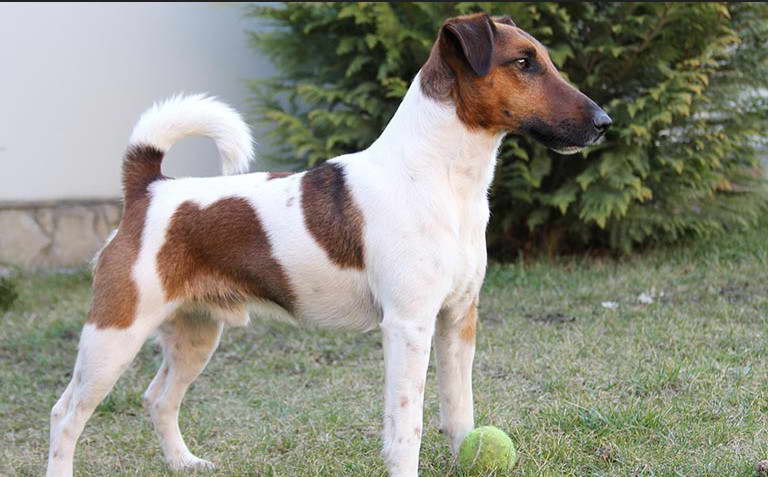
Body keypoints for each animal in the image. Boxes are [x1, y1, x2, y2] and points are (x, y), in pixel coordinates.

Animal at [48, 12, 612, 476]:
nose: (604, 123)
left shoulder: (458, 319)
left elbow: (459, 412)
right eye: (523, 63)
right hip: (113, 337)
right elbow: (407, 428)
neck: (439, 178)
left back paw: (186, 463)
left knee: (157, 399)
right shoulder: (408, 326)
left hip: (196, 333)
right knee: (66, 415)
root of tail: (149, 189)